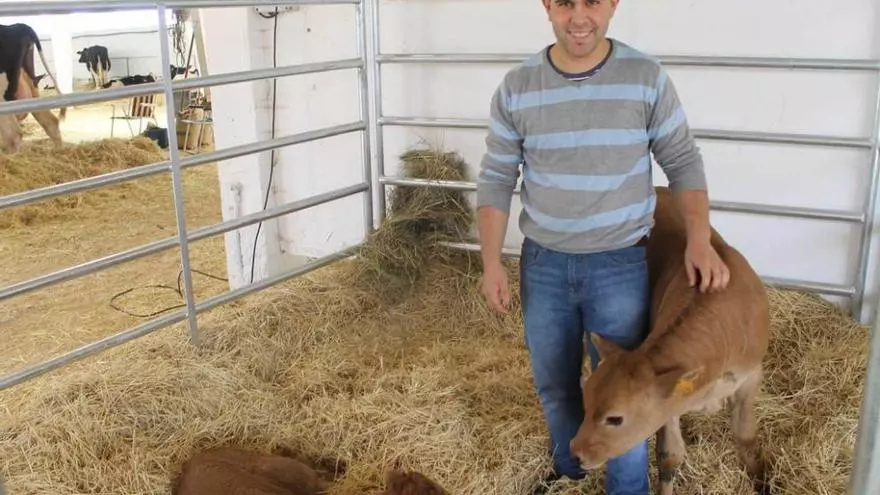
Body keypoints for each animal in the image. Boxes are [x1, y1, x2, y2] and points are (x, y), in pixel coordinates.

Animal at [569, 186, 770, 495]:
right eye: (587, 403)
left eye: (615, 418)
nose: (576, 452)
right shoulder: (669, 404)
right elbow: (669, 456)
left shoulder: (751, 376)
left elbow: (746, 437)